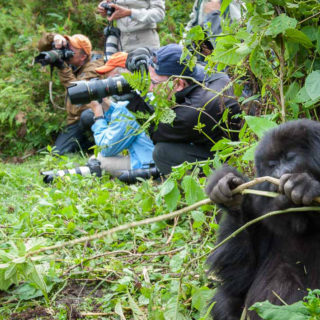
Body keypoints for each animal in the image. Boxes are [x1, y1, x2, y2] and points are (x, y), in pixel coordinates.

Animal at [206, 119, 320, 320]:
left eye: (290, 157)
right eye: (272, 165)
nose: (279, 174)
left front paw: (303, 184)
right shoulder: (259, 212)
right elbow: (240, 278)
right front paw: (230, 196)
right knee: (224, 298)